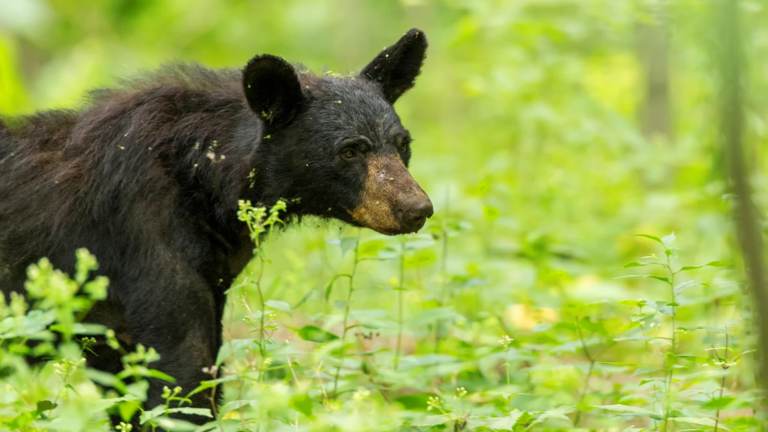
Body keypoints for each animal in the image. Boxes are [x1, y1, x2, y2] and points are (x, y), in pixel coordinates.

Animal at [0, 28, 432, 426]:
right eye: (349, 151)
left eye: (403, 144)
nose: (417, 208)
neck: (205, 182)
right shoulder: (145, 239)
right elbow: (181, 377)